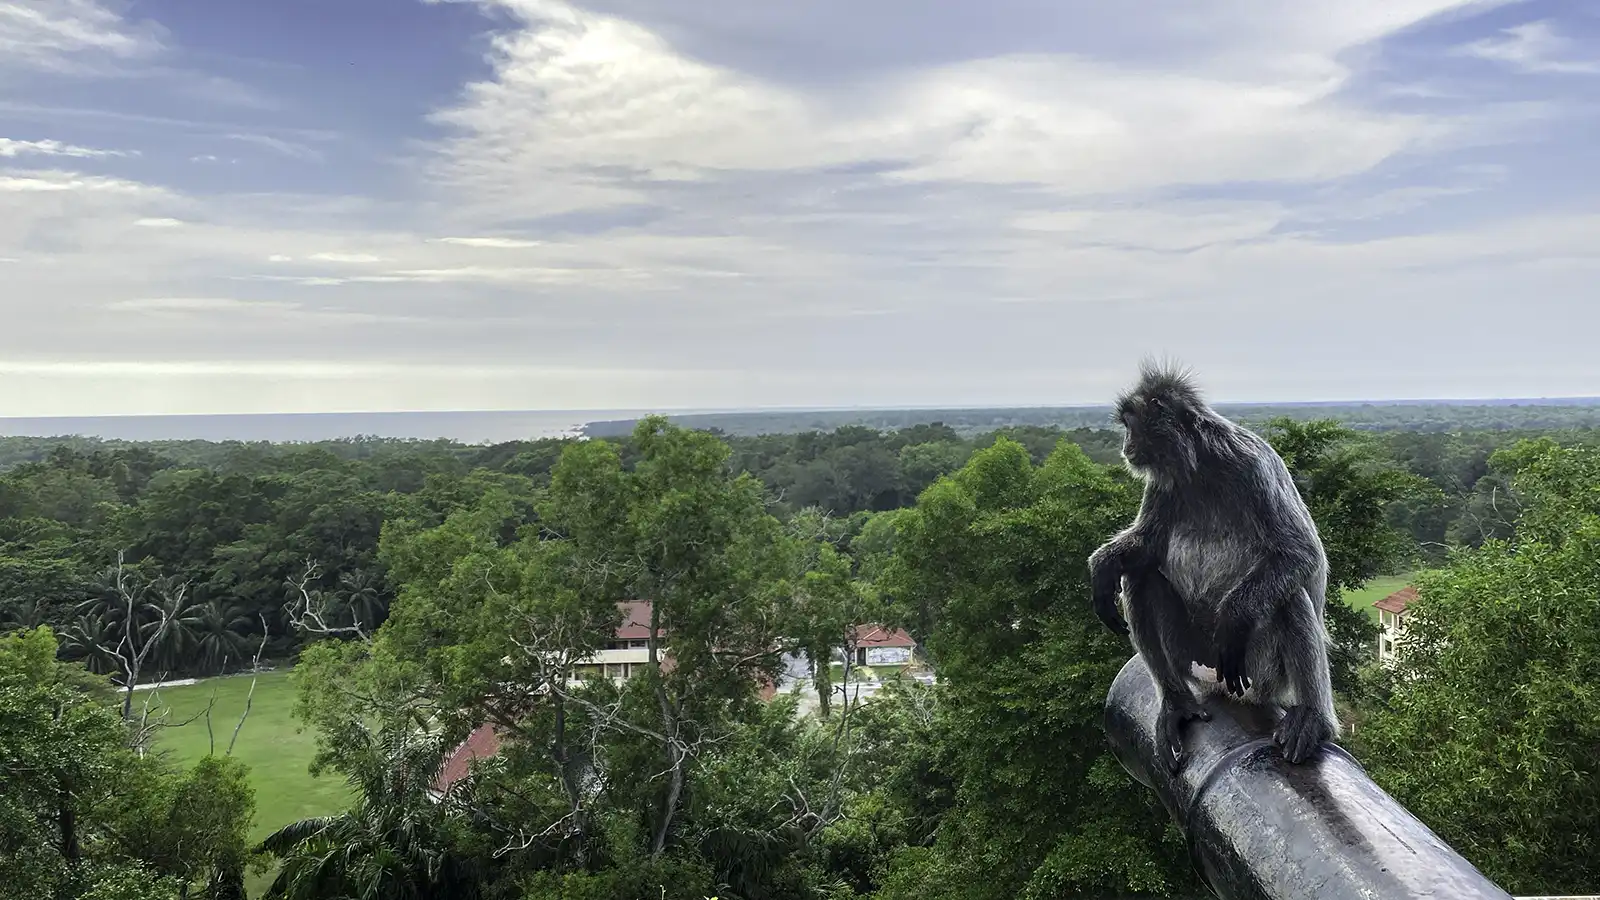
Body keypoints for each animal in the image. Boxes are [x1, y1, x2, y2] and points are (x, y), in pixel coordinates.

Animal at [1088, 361, 1339, 773]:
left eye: (1131, 424)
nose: (1125, 446)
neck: (1200, 466)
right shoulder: (1165, 484)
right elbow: (1146, 549)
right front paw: (1103, 565)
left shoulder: (1251, 466)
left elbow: (1301, 554)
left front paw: (1234, 617)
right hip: (1192, 655)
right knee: (1140, 577)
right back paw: (1176, 702)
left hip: (1258, 673)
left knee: (1288, 597)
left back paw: (1313, 718)